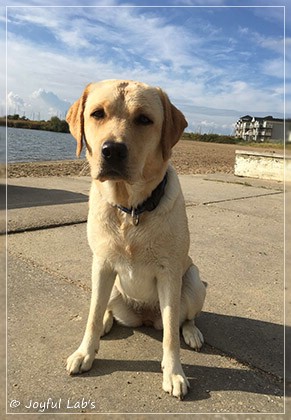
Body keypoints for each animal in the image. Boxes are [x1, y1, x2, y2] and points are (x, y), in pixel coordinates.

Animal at [67, 80, 206, 398]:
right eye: (97, 113)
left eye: (144, 119)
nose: (112, 150)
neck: (131, 209)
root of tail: (143, 317)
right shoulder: (102, 265)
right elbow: (92, 316)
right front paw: (85, 353)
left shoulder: (169, 274)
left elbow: (171, 334)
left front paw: (174, 372)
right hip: (110, 287)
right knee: (102, 307)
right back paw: (107, 322)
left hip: (194, 281)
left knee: (184, 318)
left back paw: (192, 332)